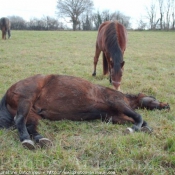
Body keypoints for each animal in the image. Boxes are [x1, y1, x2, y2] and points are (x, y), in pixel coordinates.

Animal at [0, 74, 170, 149]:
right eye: (154, 98)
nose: (167, 106)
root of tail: (9, 91)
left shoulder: (115, 117)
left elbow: (139, 119)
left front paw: (144, 128)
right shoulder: (119, 103)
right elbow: (139, 117)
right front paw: (134, 129)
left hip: (33, 114)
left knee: (29, 126)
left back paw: (40, 139)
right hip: (26, 100)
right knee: (19, 120)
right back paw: (26, 140)